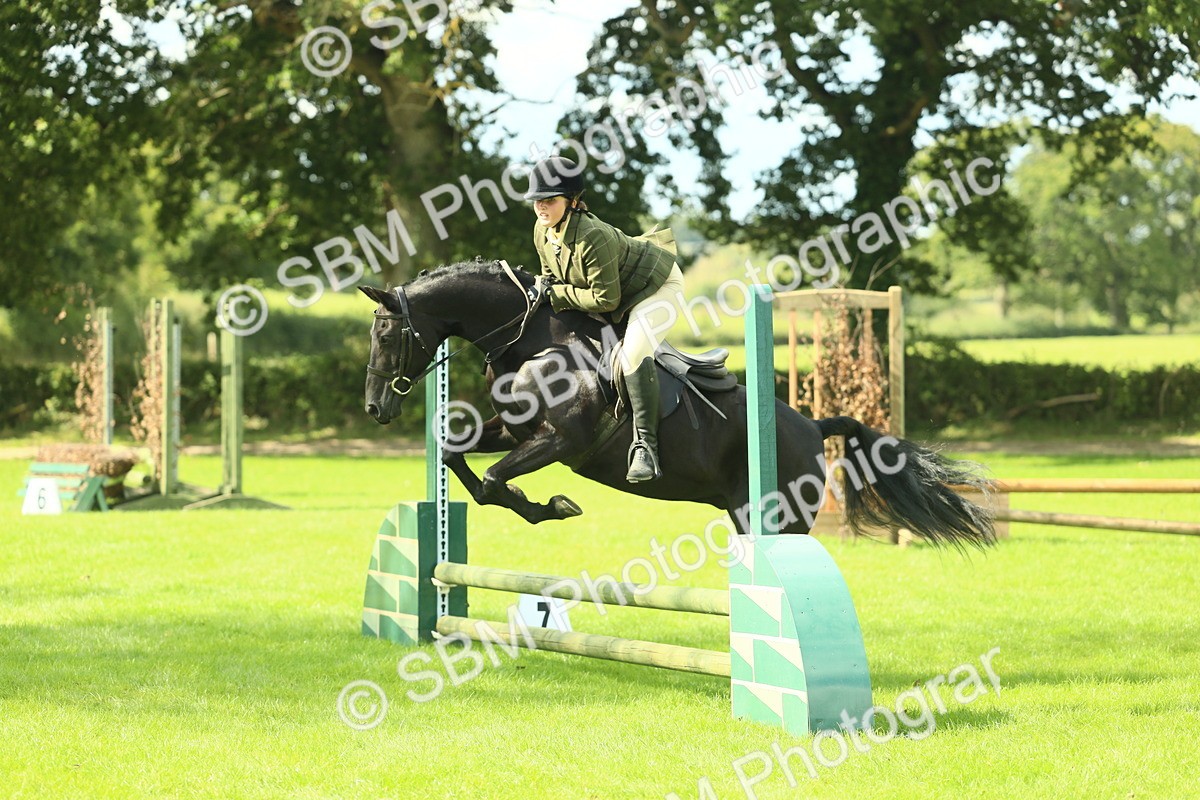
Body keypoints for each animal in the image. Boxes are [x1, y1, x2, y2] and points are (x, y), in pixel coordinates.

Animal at [360, 261, 994, 547]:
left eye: (387, 335)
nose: (375, 409)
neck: (530, 341)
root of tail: (814, 426)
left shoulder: (560, 442)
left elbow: (493, 480)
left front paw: (551, 505)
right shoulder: (516, 433)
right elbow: (456, 455)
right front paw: (537, 504)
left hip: (774, 514)